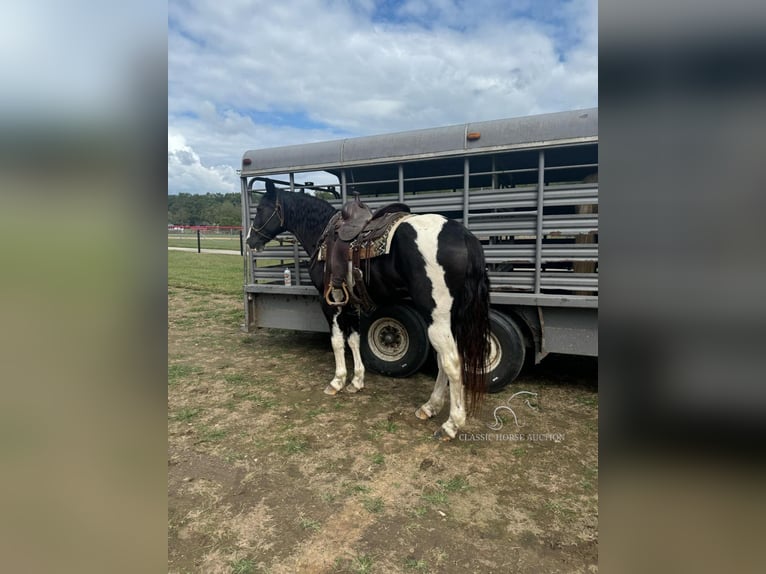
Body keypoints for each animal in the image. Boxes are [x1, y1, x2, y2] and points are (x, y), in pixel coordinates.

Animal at [252, 182, 492, 438]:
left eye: (261, 209)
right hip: (449, 318)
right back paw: (430, 407)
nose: (250, 240)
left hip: (436, 318)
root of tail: (465, 236)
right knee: (443, 361)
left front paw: (337, 381)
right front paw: (356, 381)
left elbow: (337, 341)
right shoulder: (351, 303)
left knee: (452, 363)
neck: (323, 236)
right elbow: (354, 340)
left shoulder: (330, 302)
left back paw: (451, 424)